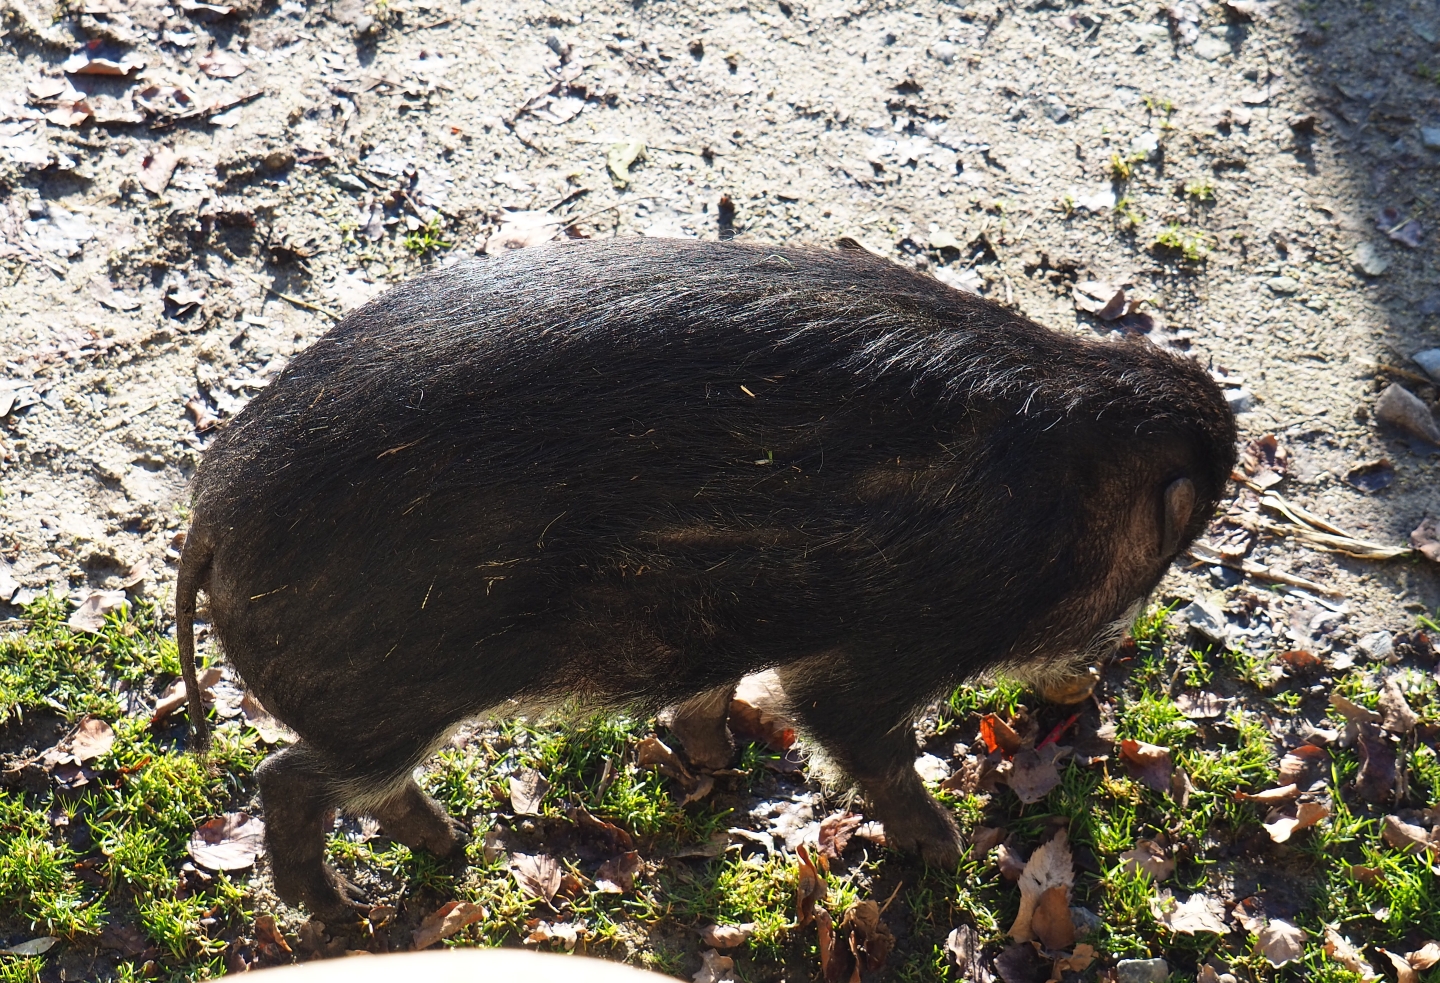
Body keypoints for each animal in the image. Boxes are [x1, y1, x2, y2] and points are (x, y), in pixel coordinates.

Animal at [176, 238, 1236, 920]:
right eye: (1164, 558)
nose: (1087, 687)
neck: (1059, 498)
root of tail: (207, 521)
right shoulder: (897, 639)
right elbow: (859, 730)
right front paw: (948, 851)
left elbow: (710, 699)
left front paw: (722, 767)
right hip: (388, 698)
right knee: (290, 779)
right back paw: (347, 913)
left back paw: (449, 853)